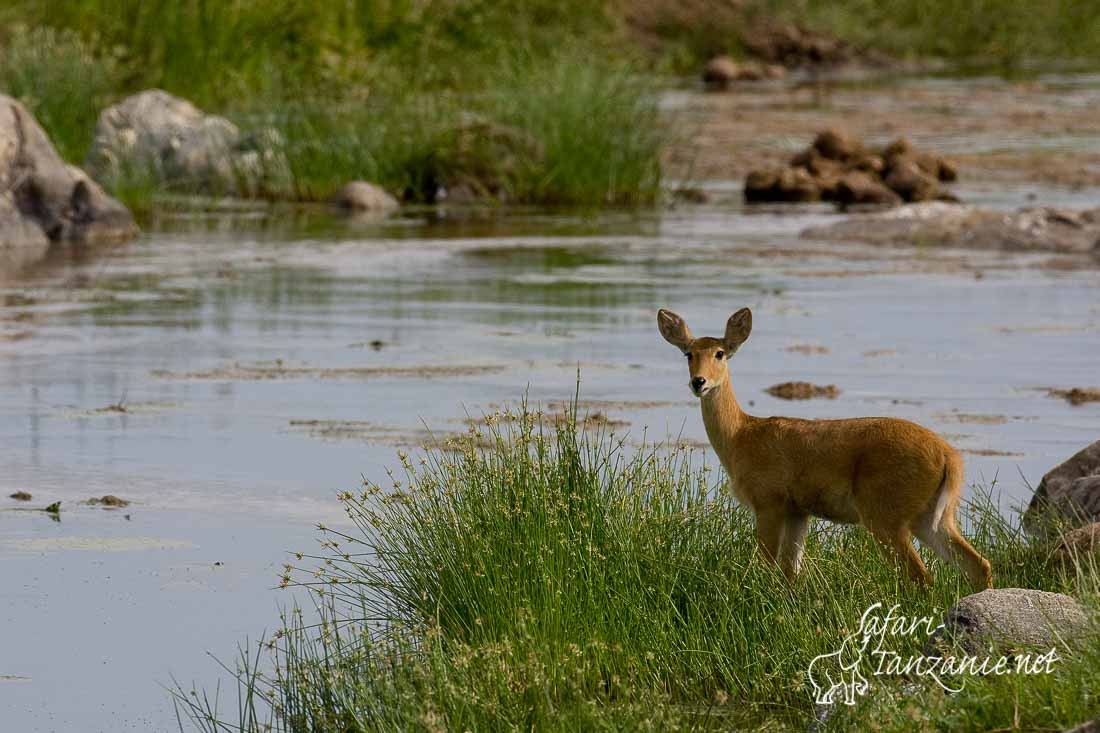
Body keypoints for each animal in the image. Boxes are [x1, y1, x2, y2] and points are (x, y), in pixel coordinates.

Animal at [655, 305, 994, 589]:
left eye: (720, 353)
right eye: (688, 353)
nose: (699, 382)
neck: (741, 437)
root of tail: (949, 457)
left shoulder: (769, 500)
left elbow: (766, 566)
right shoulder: (798, 511)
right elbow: (791, 573)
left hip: (885, 513)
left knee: (920, 575)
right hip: (933, 515)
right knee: (977, 564)